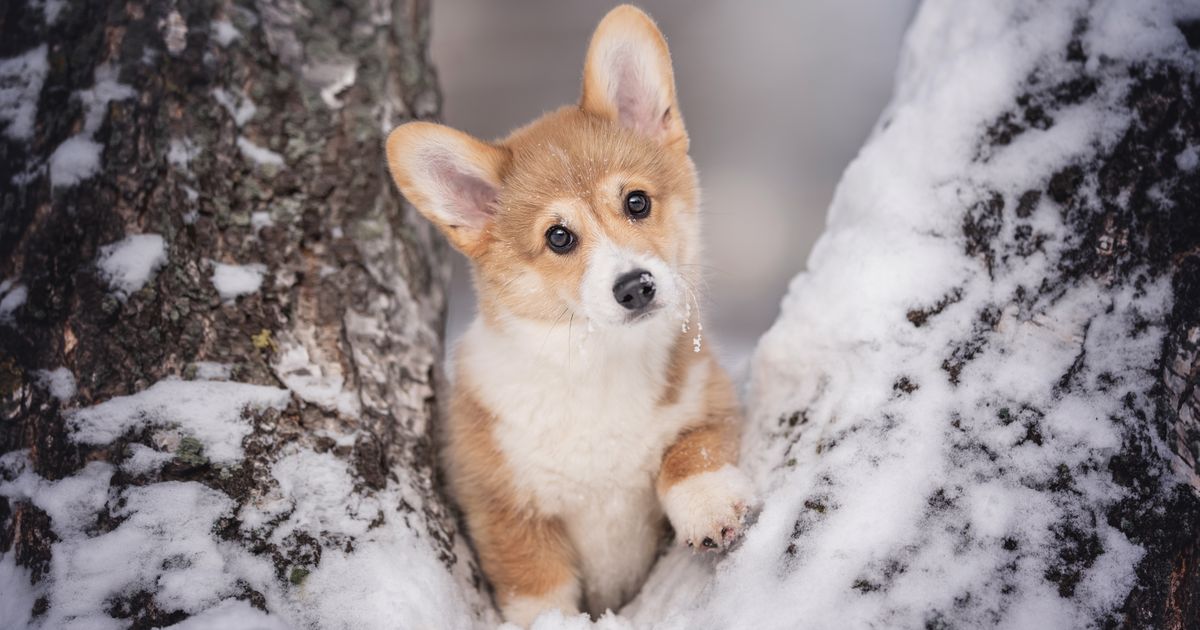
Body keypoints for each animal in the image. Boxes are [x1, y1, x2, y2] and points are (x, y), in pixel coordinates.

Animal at [388, 4, 753, 624]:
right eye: (558, 237)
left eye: (637, 202)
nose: (636, 287)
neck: (598, 362)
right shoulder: (504, 507)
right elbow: (539, 589)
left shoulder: (710, 396)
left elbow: (692, 449)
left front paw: (709, 506)